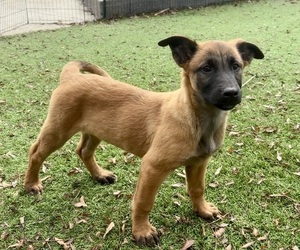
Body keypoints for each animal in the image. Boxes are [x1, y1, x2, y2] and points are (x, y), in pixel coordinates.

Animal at [24, 36, 264, 247]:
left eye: (236, 66)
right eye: (206, 68)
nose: (231, 93)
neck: (196, 118)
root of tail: (72, 76)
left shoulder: (199, 163)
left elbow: (197, 189)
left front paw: (202, 210)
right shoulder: (153, 166)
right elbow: (143, 202)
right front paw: (142, 231)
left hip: (96, 131)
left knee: (83, 151)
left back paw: (99, 175)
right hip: (58, 129)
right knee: (36, 152)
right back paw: (31, 184)